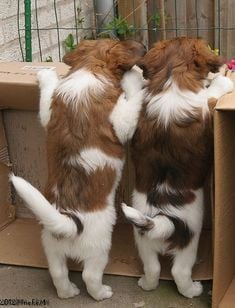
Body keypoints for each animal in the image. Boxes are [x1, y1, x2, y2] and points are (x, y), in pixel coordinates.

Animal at [11, 38, 146, 300]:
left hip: (51, 244)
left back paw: (68, 293)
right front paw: (135, 77)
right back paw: (102, 293)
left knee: (58, 273)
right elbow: (132, 101)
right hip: (99, 245)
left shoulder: (49, 112)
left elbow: (45, 98)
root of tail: (69, 223)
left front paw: (45, 75)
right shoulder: (120, 122)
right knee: (89, 276)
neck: (90, 67)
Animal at [122, 36, 234, 298]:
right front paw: (222, 79)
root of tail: (163, 219)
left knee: (152, 268)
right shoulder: (204, 103)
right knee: (178, 272)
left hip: (142, 239)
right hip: (189, 242)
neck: (172, 76)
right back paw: (193, 290)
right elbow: (211, 93)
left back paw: (145, 283)